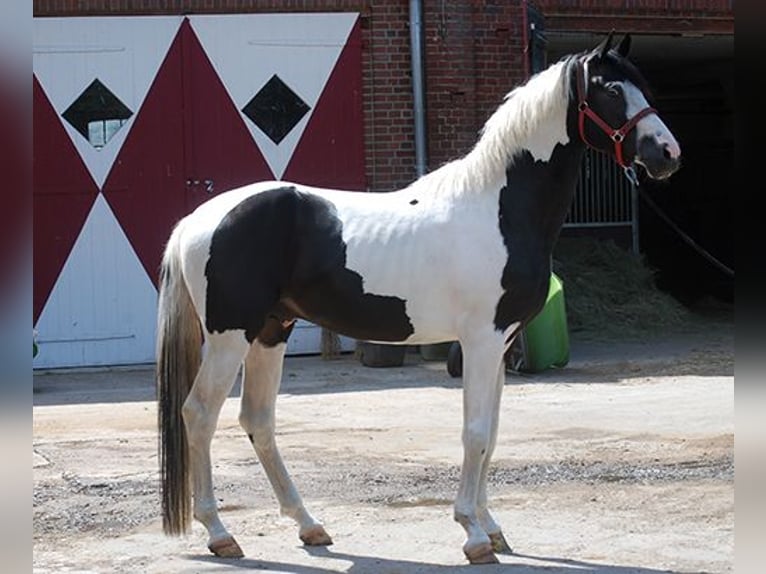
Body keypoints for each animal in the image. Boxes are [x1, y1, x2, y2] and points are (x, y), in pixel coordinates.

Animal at [156, 32, 681, 564]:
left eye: (643, 85)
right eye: (610, 89)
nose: (667, 153)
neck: (498, 208)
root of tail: (197, 219)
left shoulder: (501, 344)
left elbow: (491, 433)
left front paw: (492, 529)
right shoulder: (481, 341)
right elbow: (475, 433)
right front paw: (473, 535)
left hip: (269, 331)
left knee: (258, 420)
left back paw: (310, 526)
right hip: (230, 336)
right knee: (199, 414)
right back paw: (219, 533)